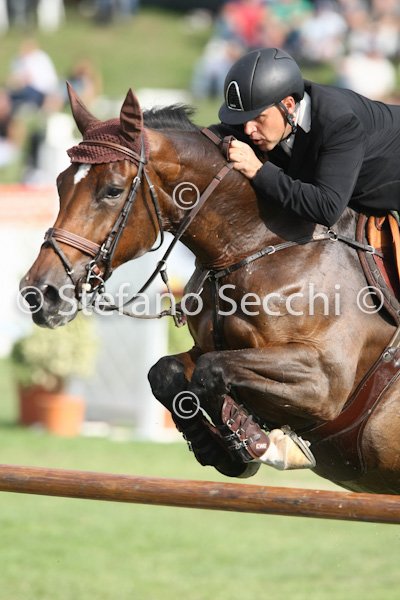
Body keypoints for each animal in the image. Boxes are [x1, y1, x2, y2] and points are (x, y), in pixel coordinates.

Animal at [20, 84, 400, 495]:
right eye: (60, 184)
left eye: (112, 190)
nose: (40, 293)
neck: (253, 244)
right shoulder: (207, 347)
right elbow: (168, 371)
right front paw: (220, 446)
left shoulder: (324, 382)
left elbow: (211, 370)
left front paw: (261, 442)